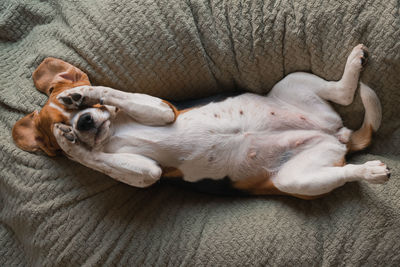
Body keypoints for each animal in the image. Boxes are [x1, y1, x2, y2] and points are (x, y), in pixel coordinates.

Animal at [12, 44, 390, 199]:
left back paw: (354, 63)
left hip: (292, 82)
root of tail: (338, 136)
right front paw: (69, 143)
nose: (84, 123)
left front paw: (82, 94)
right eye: (58, 128)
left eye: (83, 109)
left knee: (342, 92)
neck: (112, 133)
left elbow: (109, 91)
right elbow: (94, 159)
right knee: (345, 168)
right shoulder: (146, 172)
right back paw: (371, 171)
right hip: (296, 178)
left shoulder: (163, 109)